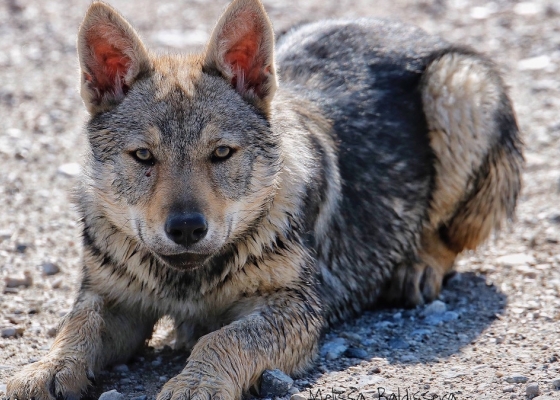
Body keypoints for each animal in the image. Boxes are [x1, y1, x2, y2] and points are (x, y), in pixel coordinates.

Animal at [4, 0, 524, 398]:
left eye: (221, 153)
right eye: (144, 157)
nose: (187, 228)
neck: (186, 285)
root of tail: (399, 25)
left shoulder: (298, 310)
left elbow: (223, 339)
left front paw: (195, 383)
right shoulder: (111, 299)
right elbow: (75, 328)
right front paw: (45, 369)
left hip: (457, 86)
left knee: (450, 236)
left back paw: (417, 266)